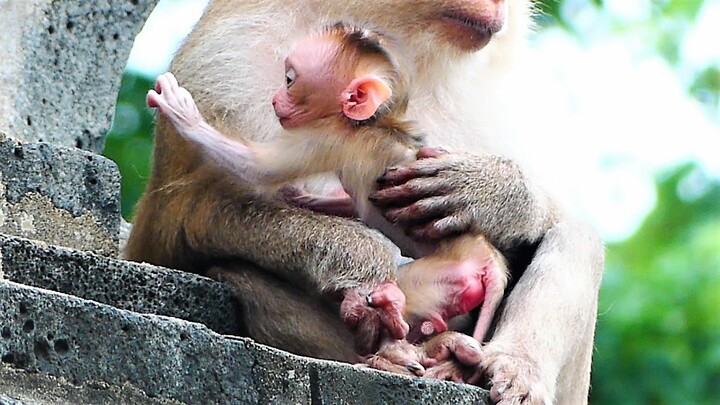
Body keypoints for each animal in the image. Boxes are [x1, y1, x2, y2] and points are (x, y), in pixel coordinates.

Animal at [146, 22, 506, 360]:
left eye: (289, 80)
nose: (275, 98)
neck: (368, 123)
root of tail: (488, 259)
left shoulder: (325, 137)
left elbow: (256, 168)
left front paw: (182, 113)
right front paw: (307, 198)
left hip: (445, 276)